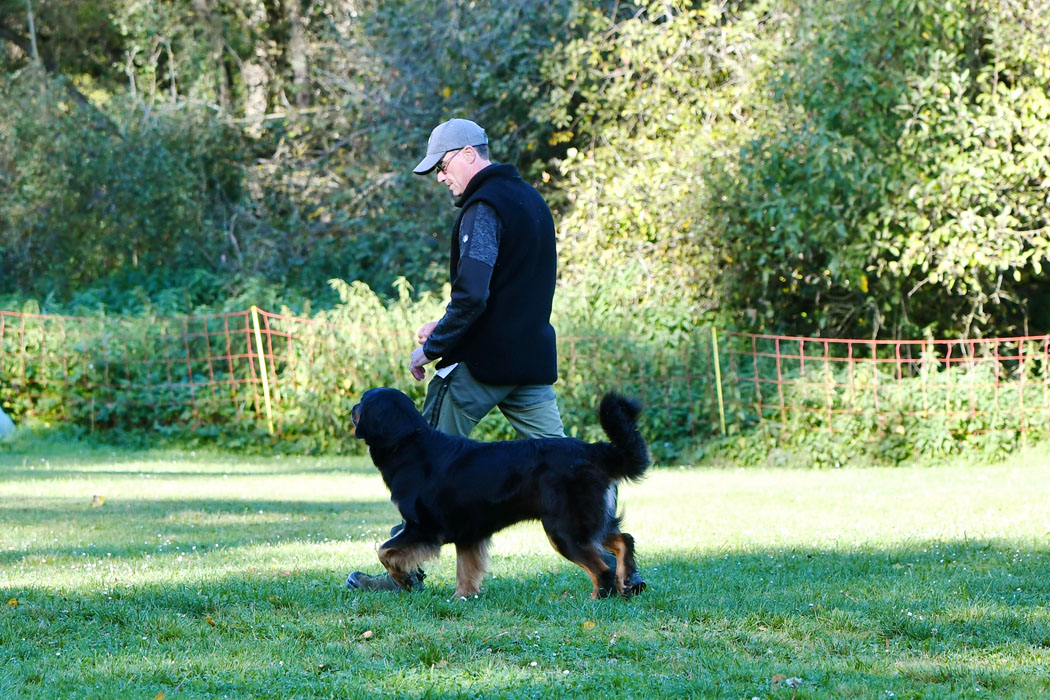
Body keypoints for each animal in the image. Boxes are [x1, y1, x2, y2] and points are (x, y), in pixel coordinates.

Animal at [352, 386, 646, 600]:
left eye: (363, 401)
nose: (352, 407)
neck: (407, 444)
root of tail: (594, 450)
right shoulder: (469, 532)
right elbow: (466, 570)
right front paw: (463, 597)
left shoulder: (424, 527)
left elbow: (384, 550)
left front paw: (403, 579)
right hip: (588, 521)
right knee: (624, 539)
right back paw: (626, 583)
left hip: (565, 529)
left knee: (602, 568)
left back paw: (599, 597)